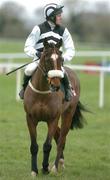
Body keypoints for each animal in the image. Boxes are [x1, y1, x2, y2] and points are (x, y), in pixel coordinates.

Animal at [23, 38, 85, 176]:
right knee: (58, 135)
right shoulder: (30, 119)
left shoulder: (52, 119)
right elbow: (34, 146)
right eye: (47, 59)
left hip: (67, 114)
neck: (42, 93)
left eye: (61, 59)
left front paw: (45, 168)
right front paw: (34, 170)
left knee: (61, 139)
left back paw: (55, 167)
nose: (56, 85)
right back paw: (61, 161)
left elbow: (47, 145)